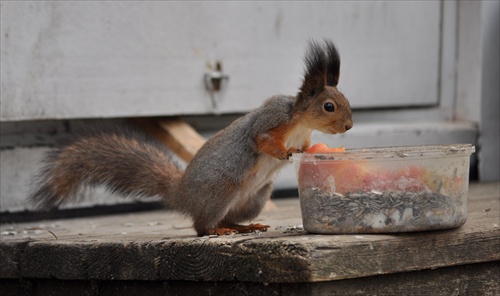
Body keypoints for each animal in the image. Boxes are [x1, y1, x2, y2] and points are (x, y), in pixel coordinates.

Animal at [29, 40, 354, 238]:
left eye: (345, 100)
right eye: (329, 106)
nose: (350, 126)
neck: (299, 122)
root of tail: (182, 194)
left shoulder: (302, 135)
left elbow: (306, 147)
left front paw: (312, 153)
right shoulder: (270, 119)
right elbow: (261, 140)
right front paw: (281, 152)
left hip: (254, 198)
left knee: (226, 218)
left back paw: (243, 227)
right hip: (220, 191)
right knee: (202, 227)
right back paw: (218, 232)